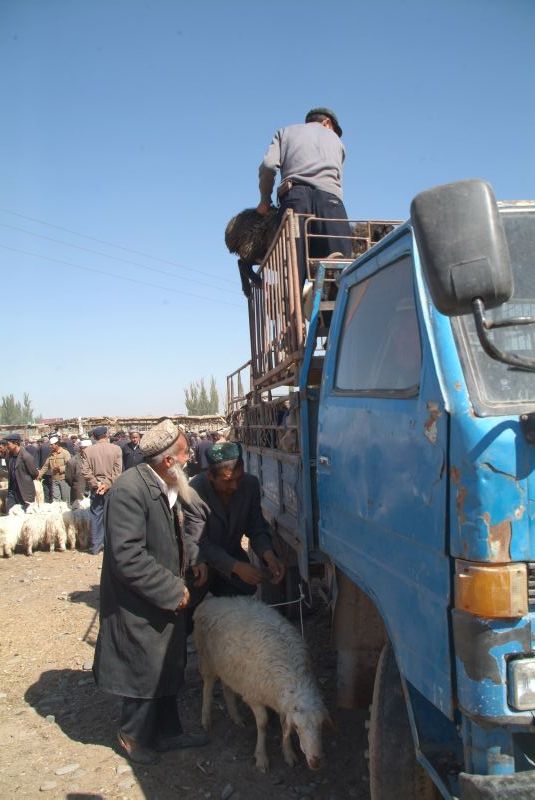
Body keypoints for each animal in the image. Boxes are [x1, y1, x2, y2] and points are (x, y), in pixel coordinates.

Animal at [191, 596, 328, 772]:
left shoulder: (282, 703)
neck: (293, 678)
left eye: (321, 725)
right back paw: (206, 719)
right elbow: (262, 724)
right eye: (297, 727)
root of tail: (211, 600)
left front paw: (288, 753)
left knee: (227, 688)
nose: (315, 762)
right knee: (207, 686)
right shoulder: (254, 697)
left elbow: (284, 725)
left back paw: (236, 717)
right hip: (208, 659)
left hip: (229, 667)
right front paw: (261, 757)